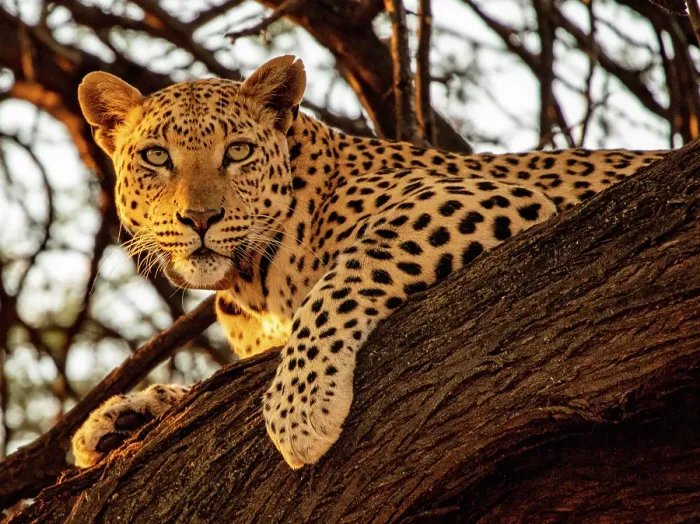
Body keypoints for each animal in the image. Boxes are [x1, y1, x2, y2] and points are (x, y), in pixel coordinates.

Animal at [71, 55, 668, 469]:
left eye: (237, 151)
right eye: (156, 156)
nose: (200, 218)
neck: (252, 286)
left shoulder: (482, 196)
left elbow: (345, 276)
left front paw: (300, 406)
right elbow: (204, 385)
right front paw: (119, 415)